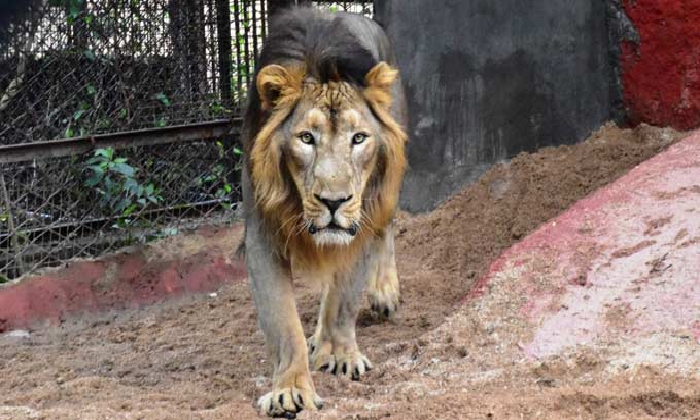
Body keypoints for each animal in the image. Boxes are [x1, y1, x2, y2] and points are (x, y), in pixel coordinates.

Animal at [241, 8, 408, 418]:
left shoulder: (358, 225)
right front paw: (290, 389)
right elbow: (283, 324)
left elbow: (344, 299)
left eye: (358, 138)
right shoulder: (262, 238)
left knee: (386, 231)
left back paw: (382, 293)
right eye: (306, 138)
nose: (334, 201)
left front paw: (342, 354)